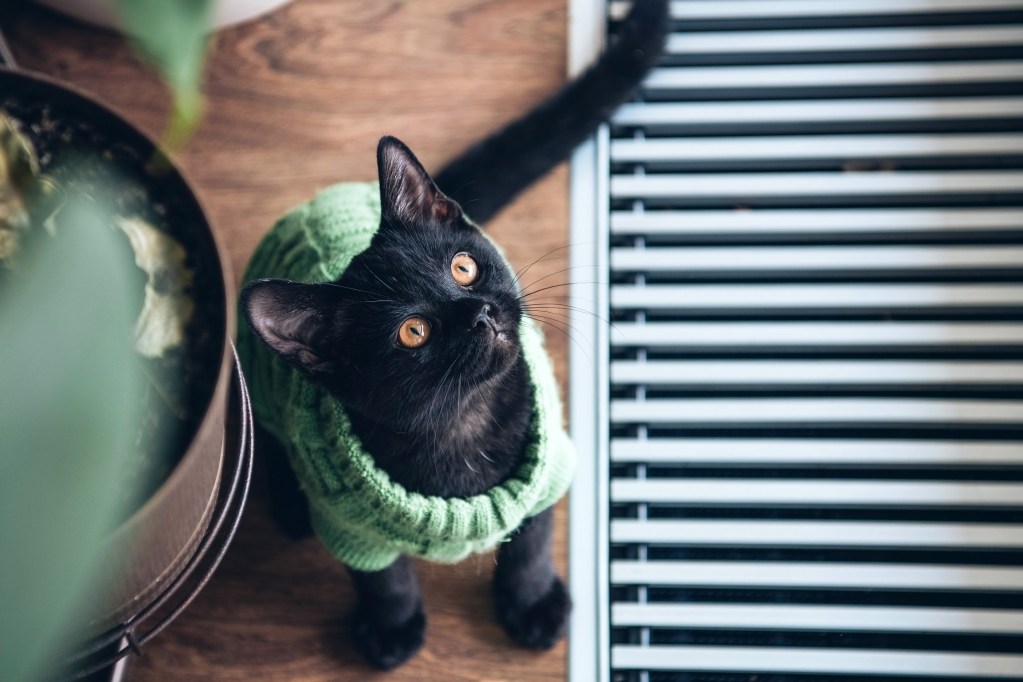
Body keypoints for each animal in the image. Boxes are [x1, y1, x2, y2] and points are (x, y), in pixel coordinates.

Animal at [240, 0, 671, 670]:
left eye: (463, 268)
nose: (478, 313)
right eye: (412, 332)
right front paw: (391, 630)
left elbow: (530, 546)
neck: (460, 426)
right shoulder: (351, 528)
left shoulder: (547, 476)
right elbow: (384, 579)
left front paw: (532, 606)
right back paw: (287, 502)